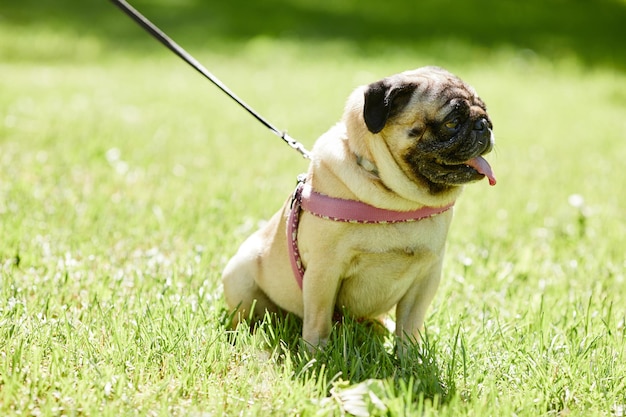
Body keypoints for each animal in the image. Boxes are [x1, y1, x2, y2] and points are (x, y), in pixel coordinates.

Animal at [222, 66, 494, 348]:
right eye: (452, 122)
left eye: (485, 111)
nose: (485, 125)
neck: (399, 201)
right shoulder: (324, 272)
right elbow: (318, 321)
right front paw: (315, 353)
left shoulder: (426, 277)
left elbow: (409, 327)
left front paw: (409, 356)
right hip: (240, 275)